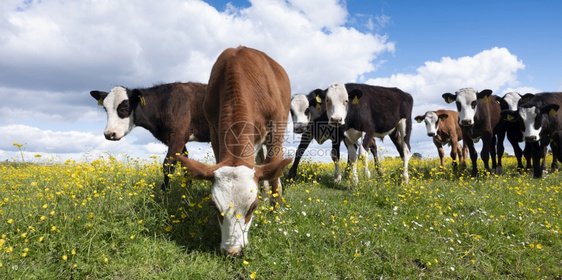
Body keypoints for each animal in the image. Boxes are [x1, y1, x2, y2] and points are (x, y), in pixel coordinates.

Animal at [175, 47, 290, 258]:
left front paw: (276, 211)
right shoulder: (213, 129)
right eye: (214, 205)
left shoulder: (276, 126)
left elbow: (275, 166)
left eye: (253, 207)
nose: (232, 251)